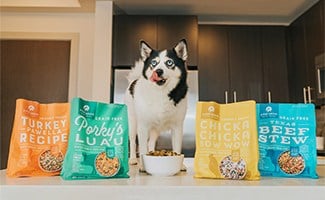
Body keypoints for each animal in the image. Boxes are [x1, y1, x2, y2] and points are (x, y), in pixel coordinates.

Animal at [125, 39, 189, 170]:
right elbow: (142, 147)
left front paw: (180, 165)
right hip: (133, 123)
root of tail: (134, 81)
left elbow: (177, 147)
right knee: (133, 142)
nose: (158, 71)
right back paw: (133, 159)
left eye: (169, 62)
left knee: (151, 142)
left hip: (156, 129)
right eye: (154, 63)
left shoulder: (177, 127)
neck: (161, 93)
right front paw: (143, 166)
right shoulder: (143, 126)